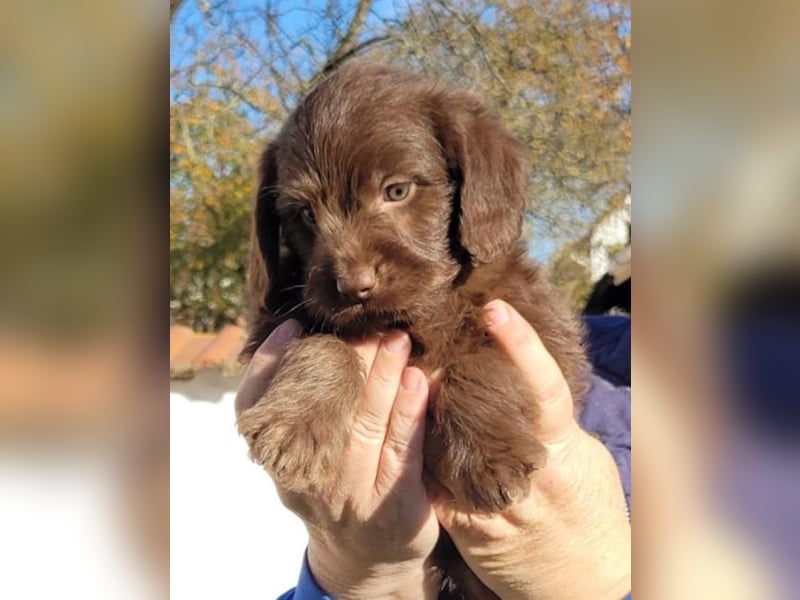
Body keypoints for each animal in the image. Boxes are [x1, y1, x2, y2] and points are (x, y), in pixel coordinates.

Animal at [236, 63, 588, 596]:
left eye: (397, 191)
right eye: (304, 215)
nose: (353, 286)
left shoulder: (538, 326)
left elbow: (484, 361)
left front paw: (488, 455)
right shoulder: (276, 321)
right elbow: (323, 344)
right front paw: (296, 425)